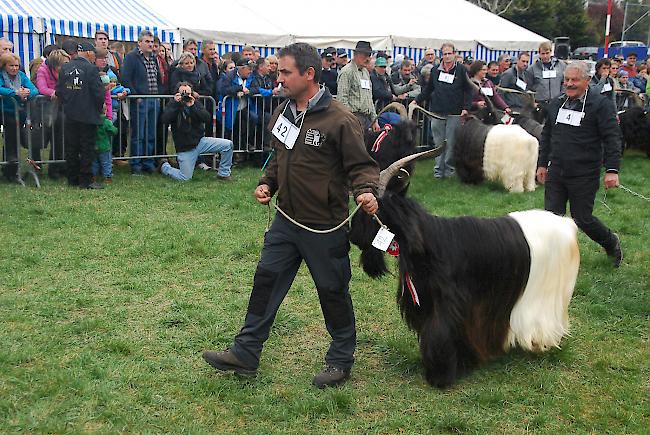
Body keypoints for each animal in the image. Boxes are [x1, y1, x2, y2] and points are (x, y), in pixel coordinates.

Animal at [352, 152, 580, 388]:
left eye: (372, 211)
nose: (353, 236)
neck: (432, 244)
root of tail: (567, 225)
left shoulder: (450, 304)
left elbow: (441, 331)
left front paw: (440, 376)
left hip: (547, 293)